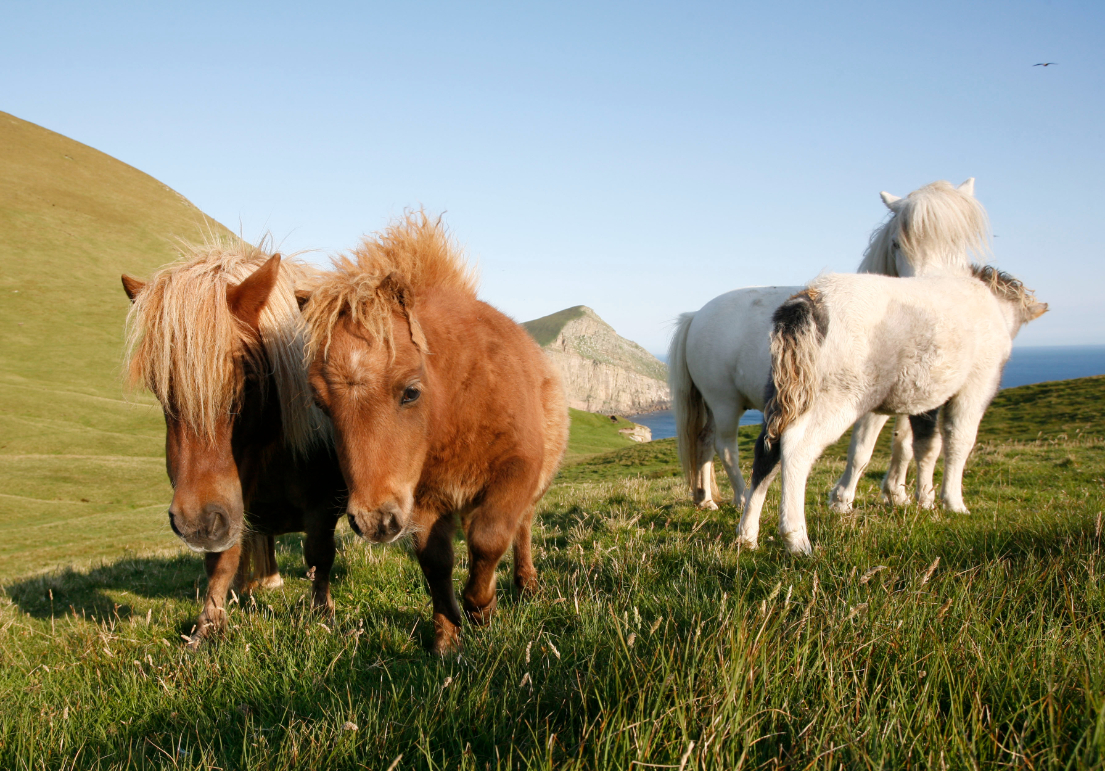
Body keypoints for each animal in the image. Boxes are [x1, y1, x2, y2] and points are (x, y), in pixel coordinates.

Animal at [120, 240, 344, 640]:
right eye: (158, 386)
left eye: (249, 380)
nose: (196, 523)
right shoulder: (230, 509)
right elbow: (222, 561)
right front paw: (208, 624)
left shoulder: (323, 503)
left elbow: (319, 555)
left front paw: (322, 615)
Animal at [300, 213, 570, 649]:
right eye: (322, 405)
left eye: (411, 392)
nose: (373, 520)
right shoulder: (423, 501)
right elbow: (436, 563)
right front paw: (446, 639)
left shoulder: (515, 473)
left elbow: (490, 538)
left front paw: (481, 608)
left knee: (522, 528)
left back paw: (526, 584)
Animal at [667, 178, 990, 510]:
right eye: (897, 243)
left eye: (957, 241)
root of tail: (696, 315)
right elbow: (862, 449)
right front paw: (842, 500)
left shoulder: (913, 398)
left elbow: (903, 443)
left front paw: (897, 494)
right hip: (725, 401)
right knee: (726, 447)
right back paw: (743, 497)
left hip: (713, 403)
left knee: (704, 441)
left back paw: (705, 499)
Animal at [742, 266, 1043, 552]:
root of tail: (810, 299)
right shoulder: (976, 386)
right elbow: (958, 441)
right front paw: (953, 503)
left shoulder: (919, 401)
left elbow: (922, 446)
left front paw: (924, 499)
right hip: (835, 397)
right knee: (796, 449)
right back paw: (796, 540)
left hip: (787, 391)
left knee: (767, 451)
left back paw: (747, 535)